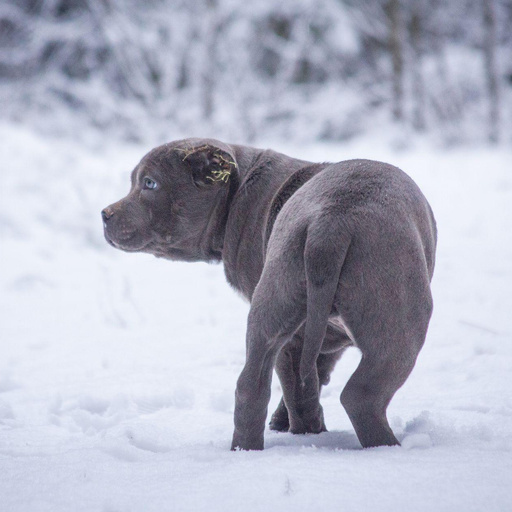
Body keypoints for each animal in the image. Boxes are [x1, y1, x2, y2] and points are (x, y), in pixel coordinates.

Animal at [102, 138, 437, 451]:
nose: (105, 214)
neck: (237, 194)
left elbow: (309, 374)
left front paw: (281, 422)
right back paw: (385, 447)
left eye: (149, 183)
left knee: (254, 385)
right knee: (361, 394)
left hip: (275, 296)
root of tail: (330, 224)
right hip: (399, 320)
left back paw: (254, 446)